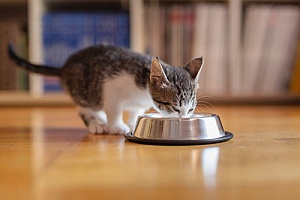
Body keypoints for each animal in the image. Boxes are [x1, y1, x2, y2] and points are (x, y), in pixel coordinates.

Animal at [8, 44, 204, 134]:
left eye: (190, 109)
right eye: (176, 108)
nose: (184, 118)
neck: (142, 89)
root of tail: (64, 67)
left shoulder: (138, 103)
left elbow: (135, 111)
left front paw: (132, 123)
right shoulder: (111, 86)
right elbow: (114, 108)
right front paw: (117, 125)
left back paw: (101, 120)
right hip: (84, 92)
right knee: (84, 109)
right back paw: (96, 124)